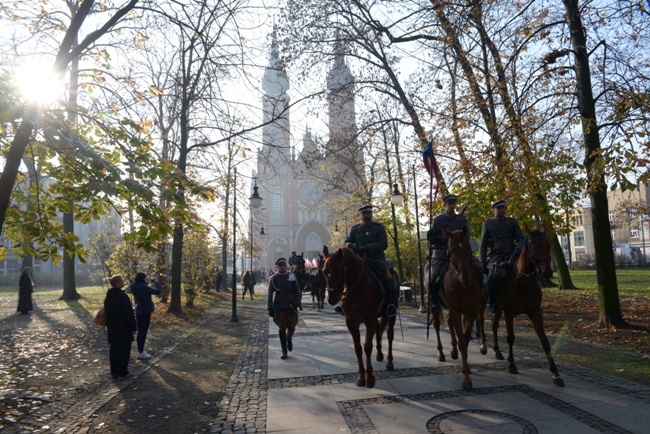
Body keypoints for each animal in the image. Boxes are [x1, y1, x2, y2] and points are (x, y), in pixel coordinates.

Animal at [320, 246, 394, 388]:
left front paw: (369, 378)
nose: (331, 300)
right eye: (324, 272)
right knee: (378, 330)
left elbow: (367, 346)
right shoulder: (351, 322)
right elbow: (358, 348)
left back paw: (389, 362)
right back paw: (379, 354)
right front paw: (360, 376)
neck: (357, 288)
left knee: (389, 335)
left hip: (391, 314)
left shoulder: (369, 320)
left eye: (337, 272)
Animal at [422, 225, 484, 392]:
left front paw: (465, 364)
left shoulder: (472, 311)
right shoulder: (455, 310)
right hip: (435, 305)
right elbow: (462, 340)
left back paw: (453, 351)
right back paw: (441, 352)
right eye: (452, 250)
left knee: (449, 323)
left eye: (469, 248)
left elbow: (466, 338)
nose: (466, 279)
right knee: (437, 325)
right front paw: (466, 377)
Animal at [488, 227, 564, 386]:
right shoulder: (509, 313)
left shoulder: (535, 313)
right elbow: (510, 337)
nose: (547, 273)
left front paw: (555, 373)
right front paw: (512, 364)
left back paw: (497, 351)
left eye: (548, 246)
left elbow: (545, 341)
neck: (523, 281)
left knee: (494, 325)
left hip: (499, 309)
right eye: (534, 246)